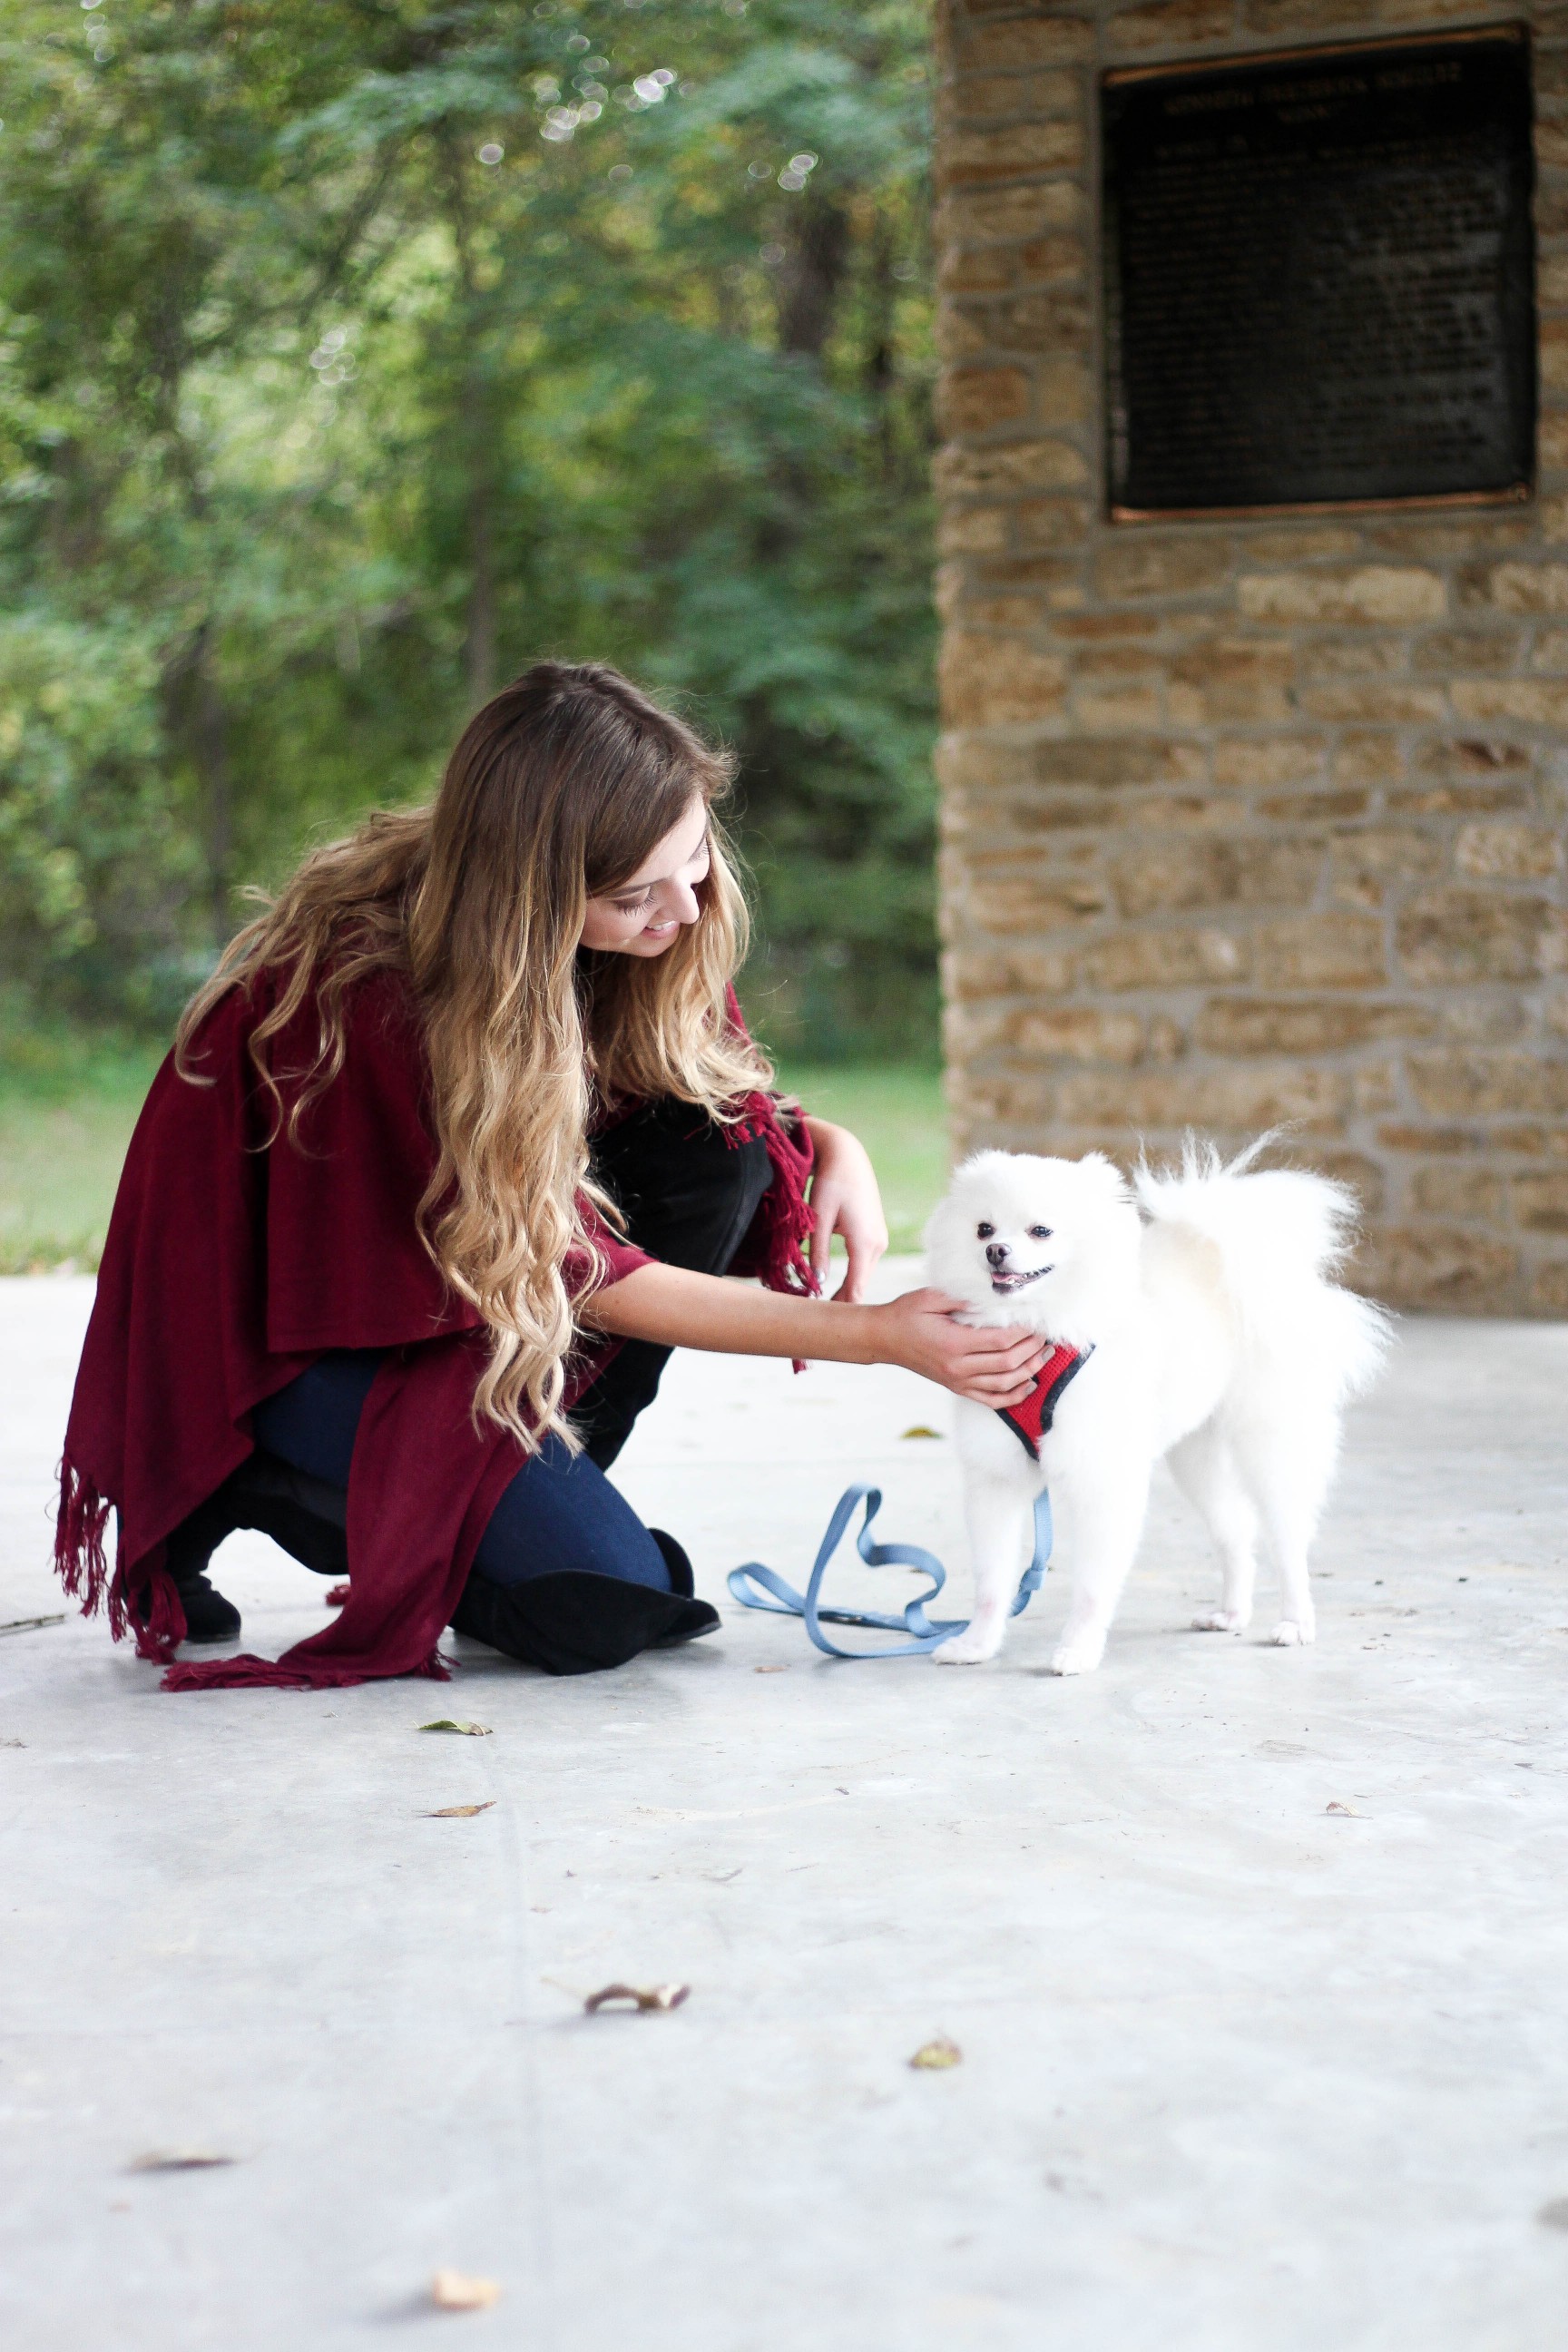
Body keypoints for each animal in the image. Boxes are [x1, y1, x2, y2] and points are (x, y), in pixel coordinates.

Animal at [926, 1138, 1391, 1674]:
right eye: (983, 1228)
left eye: (1040, 1230)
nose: (995, 1251)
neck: (1042, 1329)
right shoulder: (996, 1479)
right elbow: (990, 1582)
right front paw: (976, 1645)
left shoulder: (1103, 1481)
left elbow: (1091, 1587)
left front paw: (1078, 1649)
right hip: (1197, 1456)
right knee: (1236, 1530)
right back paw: (1231, 1613)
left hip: (1270, 1445)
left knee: (1287, 1540)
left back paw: (1295, 1622)